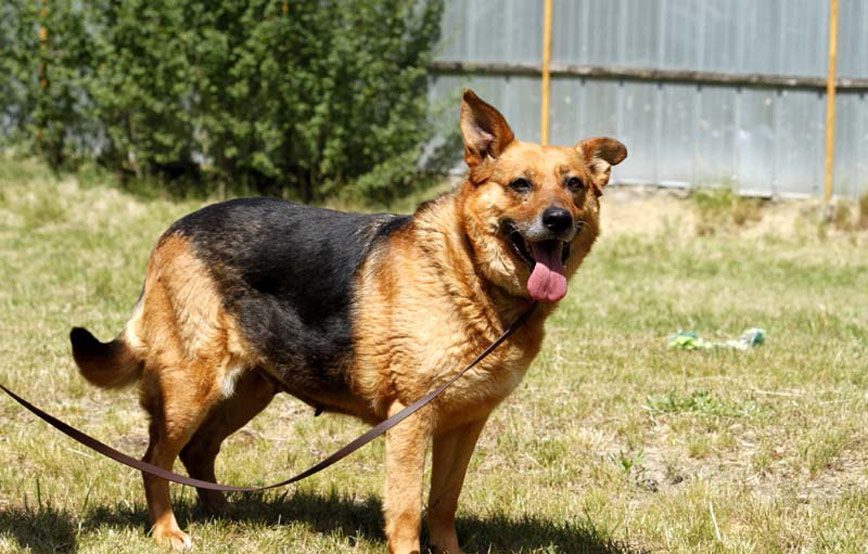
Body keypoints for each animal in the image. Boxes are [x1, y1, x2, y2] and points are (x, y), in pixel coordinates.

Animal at [68, 90, 624, 552]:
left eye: (574, 185)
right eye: (520, 185)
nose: (558, 220)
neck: (468, 273)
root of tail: (174, 230)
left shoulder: (465, 424)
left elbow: (443, 503)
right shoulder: (411, 420)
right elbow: (406, 509)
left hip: (249, 389)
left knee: (197, 454)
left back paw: (225, 513)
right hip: (191, 389)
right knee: (155, 459)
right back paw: (167, 530)